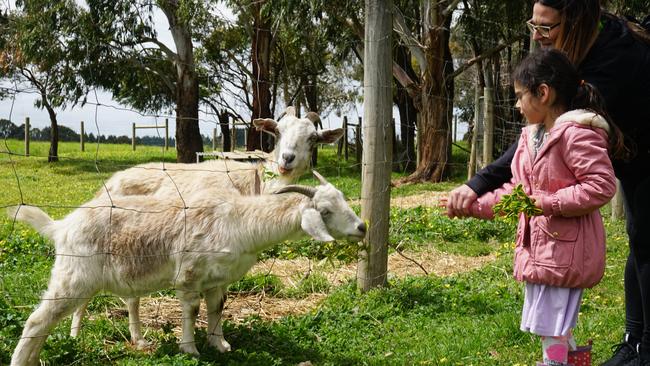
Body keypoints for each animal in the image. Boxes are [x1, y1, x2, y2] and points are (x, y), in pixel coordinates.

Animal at [8, 172, 364, 366]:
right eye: (325, 211)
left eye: (343, 199)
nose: (362, 227)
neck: (238, 220)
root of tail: (61, 226)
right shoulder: (189, 274)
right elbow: (191, 310)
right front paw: (190, 348)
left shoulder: (217, 280)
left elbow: (217, 308)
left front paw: (220, 344)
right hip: (72, 276)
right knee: (37, 320)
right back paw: (21, 360)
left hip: (84, 281)